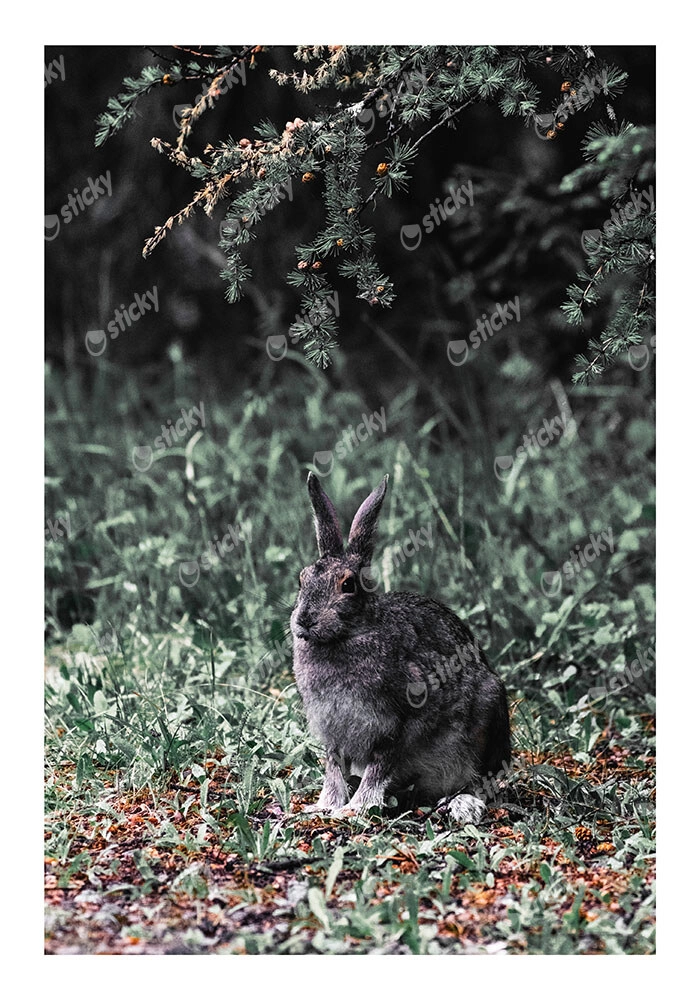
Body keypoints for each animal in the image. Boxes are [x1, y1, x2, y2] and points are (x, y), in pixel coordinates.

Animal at [291, 472, 511, 825]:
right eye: (302, 579)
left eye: (348, 585)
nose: (304, 620)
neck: (348, 635)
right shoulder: (332, 731)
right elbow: (334, 770)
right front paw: (325, 806)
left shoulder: (397, 724)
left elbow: (379, 769)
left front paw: (355, 809)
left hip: (489, 713)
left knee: (480, 779)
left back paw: (461, 804)